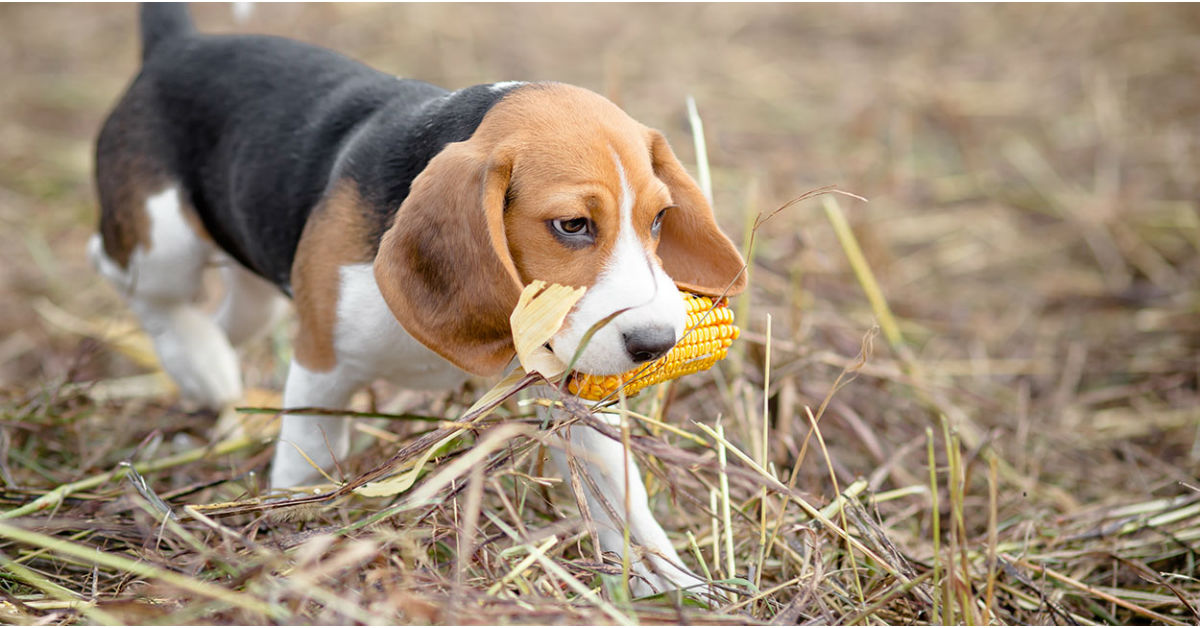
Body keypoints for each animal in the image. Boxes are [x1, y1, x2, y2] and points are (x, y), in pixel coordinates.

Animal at [93, 3, 744, 595]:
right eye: (572, 225)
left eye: (658, 219)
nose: (658, 343)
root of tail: (178, 44)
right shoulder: (322, 367)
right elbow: (304, 460)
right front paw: (289, 541)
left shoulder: (563, 387)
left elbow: (618, 487)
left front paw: (676, 582)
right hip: (164, 246)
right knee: (123, 272)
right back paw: (195, 359)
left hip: (255, 290)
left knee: (227, 319)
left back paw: (209, 375)